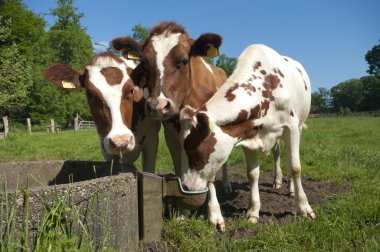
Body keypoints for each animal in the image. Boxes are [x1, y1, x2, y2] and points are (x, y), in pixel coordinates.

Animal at [111, 22, 232, 190]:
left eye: (183, 61)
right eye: (145, 63)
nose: (157, 106)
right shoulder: (171, 137)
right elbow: (180, 169)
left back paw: (226, 183)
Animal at [180, 43, 316, 230]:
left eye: (196, 152)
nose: (186, 185)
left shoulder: (292, 128)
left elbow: (295, 168)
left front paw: (304, 208)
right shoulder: (248, 135)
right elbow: (252, 174)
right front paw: (253, 211)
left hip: (299, 125)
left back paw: (291, 189)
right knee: (276, 153)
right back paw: (277, 180)